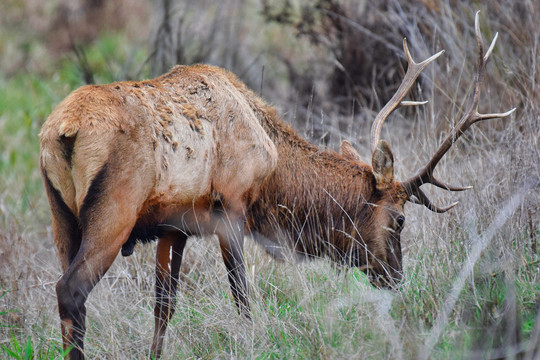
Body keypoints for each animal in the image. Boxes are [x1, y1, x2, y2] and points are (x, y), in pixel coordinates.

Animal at [40, 12, 512, 358]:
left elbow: (163, 308)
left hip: (61, 219)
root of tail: (62, 131)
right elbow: (242, 299)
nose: (398, 280)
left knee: (69, 302)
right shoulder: (231, 208)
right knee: (71, 290)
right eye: (399, 219)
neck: (273, 173)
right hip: (113, 211)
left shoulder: (173, 227)